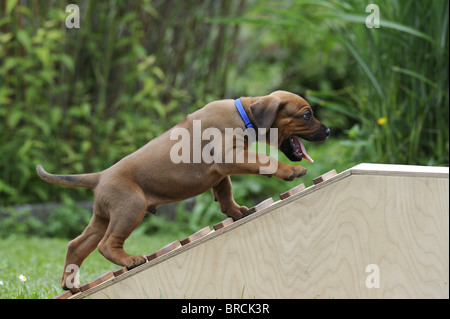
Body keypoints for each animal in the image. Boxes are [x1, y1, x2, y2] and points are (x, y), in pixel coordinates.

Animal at [36, 90, 330, 290]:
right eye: (306, 115)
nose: (327, 131)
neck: (244, 114)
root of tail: (99, 177)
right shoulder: (229, 157)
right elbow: (264, 162)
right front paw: (289, 171)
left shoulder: (221, 171)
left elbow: (225, 192)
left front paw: (235, 211)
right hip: (130, 207)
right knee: (106, 244)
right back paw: (130, 260)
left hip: (104, 216)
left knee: (77, 244)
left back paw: (70, 283)